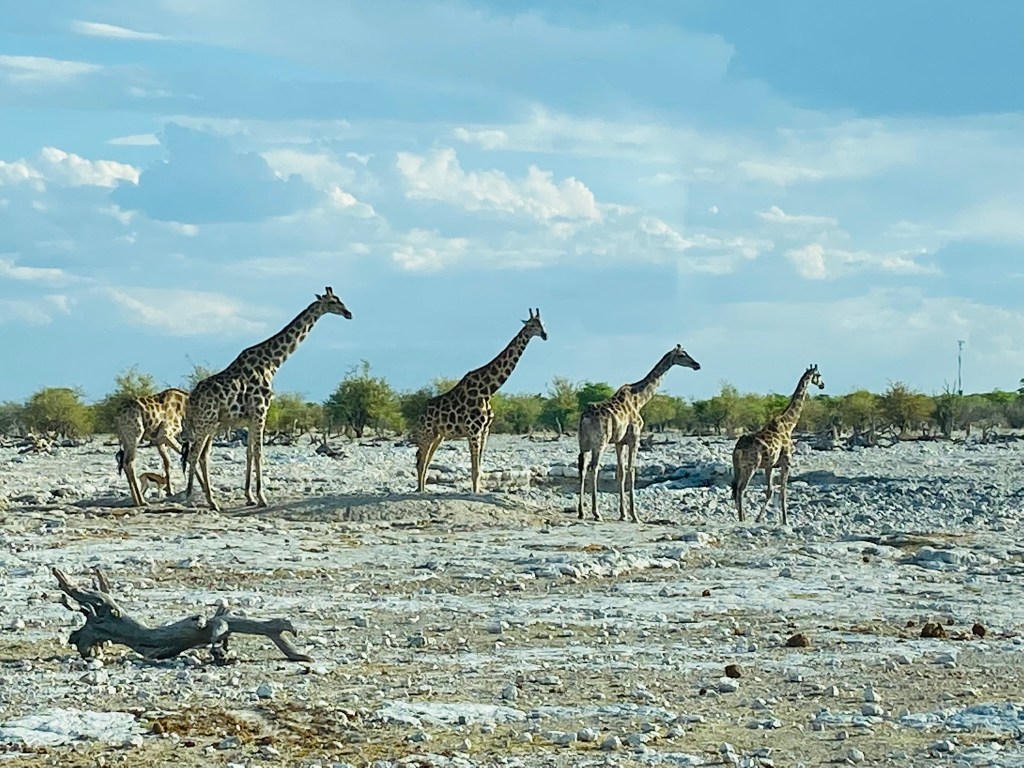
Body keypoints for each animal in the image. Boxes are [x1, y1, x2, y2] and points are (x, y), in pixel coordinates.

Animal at [180, 287, 352, 512]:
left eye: (340, 299)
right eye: (333, 302)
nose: (349, 313)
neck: (272, 362)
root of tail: (191, 400)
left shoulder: (252, 418)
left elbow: (249, 453)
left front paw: (250, 497)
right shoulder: (261, 412)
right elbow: (259, 453)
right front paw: (262, 498)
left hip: (213, 424)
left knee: (202, 455)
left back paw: (210, 499)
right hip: (205, 422)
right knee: (194, 454)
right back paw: (192, 498)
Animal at [413, 309, 547, 494]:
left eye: (544, 323)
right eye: (532, 325)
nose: (545, 335)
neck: (487, 390)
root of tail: (419, 415)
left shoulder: (484, 430)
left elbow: (479, 468)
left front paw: (478, 491)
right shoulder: (474, 430)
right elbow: (475, 469)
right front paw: (475, 493)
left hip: (438, 436)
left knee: (424, 461)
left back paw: (423, 489)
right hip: (426, 434)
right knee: (420, 461)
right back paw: (420, 490)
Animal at [577, 345, 701, 522]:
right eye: (682, 355)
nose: (697, 365)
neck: (640, 400)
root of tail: (585, 417)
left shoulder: (619, 442)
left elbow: (621, 472)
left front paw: (623, 514)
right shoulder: (634, 438)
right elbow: (632, 470)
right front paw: (634, 515)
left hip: (584, 443)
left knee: (582, 467)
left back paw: (581, 512)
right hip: (600, 441)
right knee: (594, 468)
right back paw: (596, 513)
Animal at [731, 364, 825, 525]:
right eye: (818, 375)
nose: (822, 385)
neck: (789, 424)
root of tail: (738, 449)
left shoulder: (770, 465)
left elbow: (770, 490)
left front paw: (758, 519)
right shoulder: (786, 461)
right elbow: (783, 490)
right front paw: (786, 521)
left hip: (738, 467)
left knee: (736, 488)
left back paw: (742, 517)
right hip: (751, 466)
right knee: (742, 489)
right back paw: (742, 519)